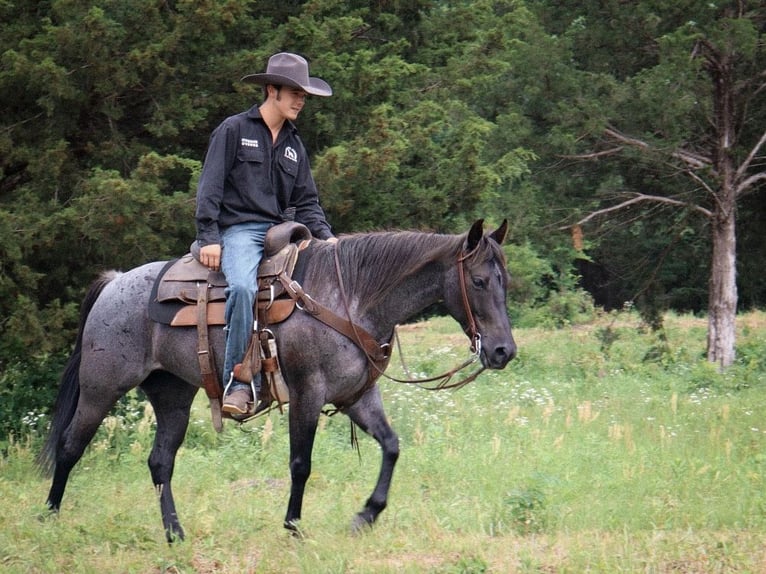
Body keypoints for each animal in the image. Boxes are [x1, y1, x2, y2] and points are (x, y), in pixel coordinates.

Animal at [36, 218, 516, 544]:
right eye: (477, 280)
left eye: (504, 280)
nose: (503, 351)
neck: (350, 297)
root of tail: (115, 282)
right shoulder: (308, 393)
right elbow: (301, 463)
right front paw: (293, 526)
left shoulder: (357, 397)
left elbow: (392, 446)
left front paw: (367, 514)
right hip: (101, 389)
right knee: (70, 447)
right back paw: (50, 516)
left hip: (172, 394)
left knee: (160, 462)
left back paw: (175, 534)